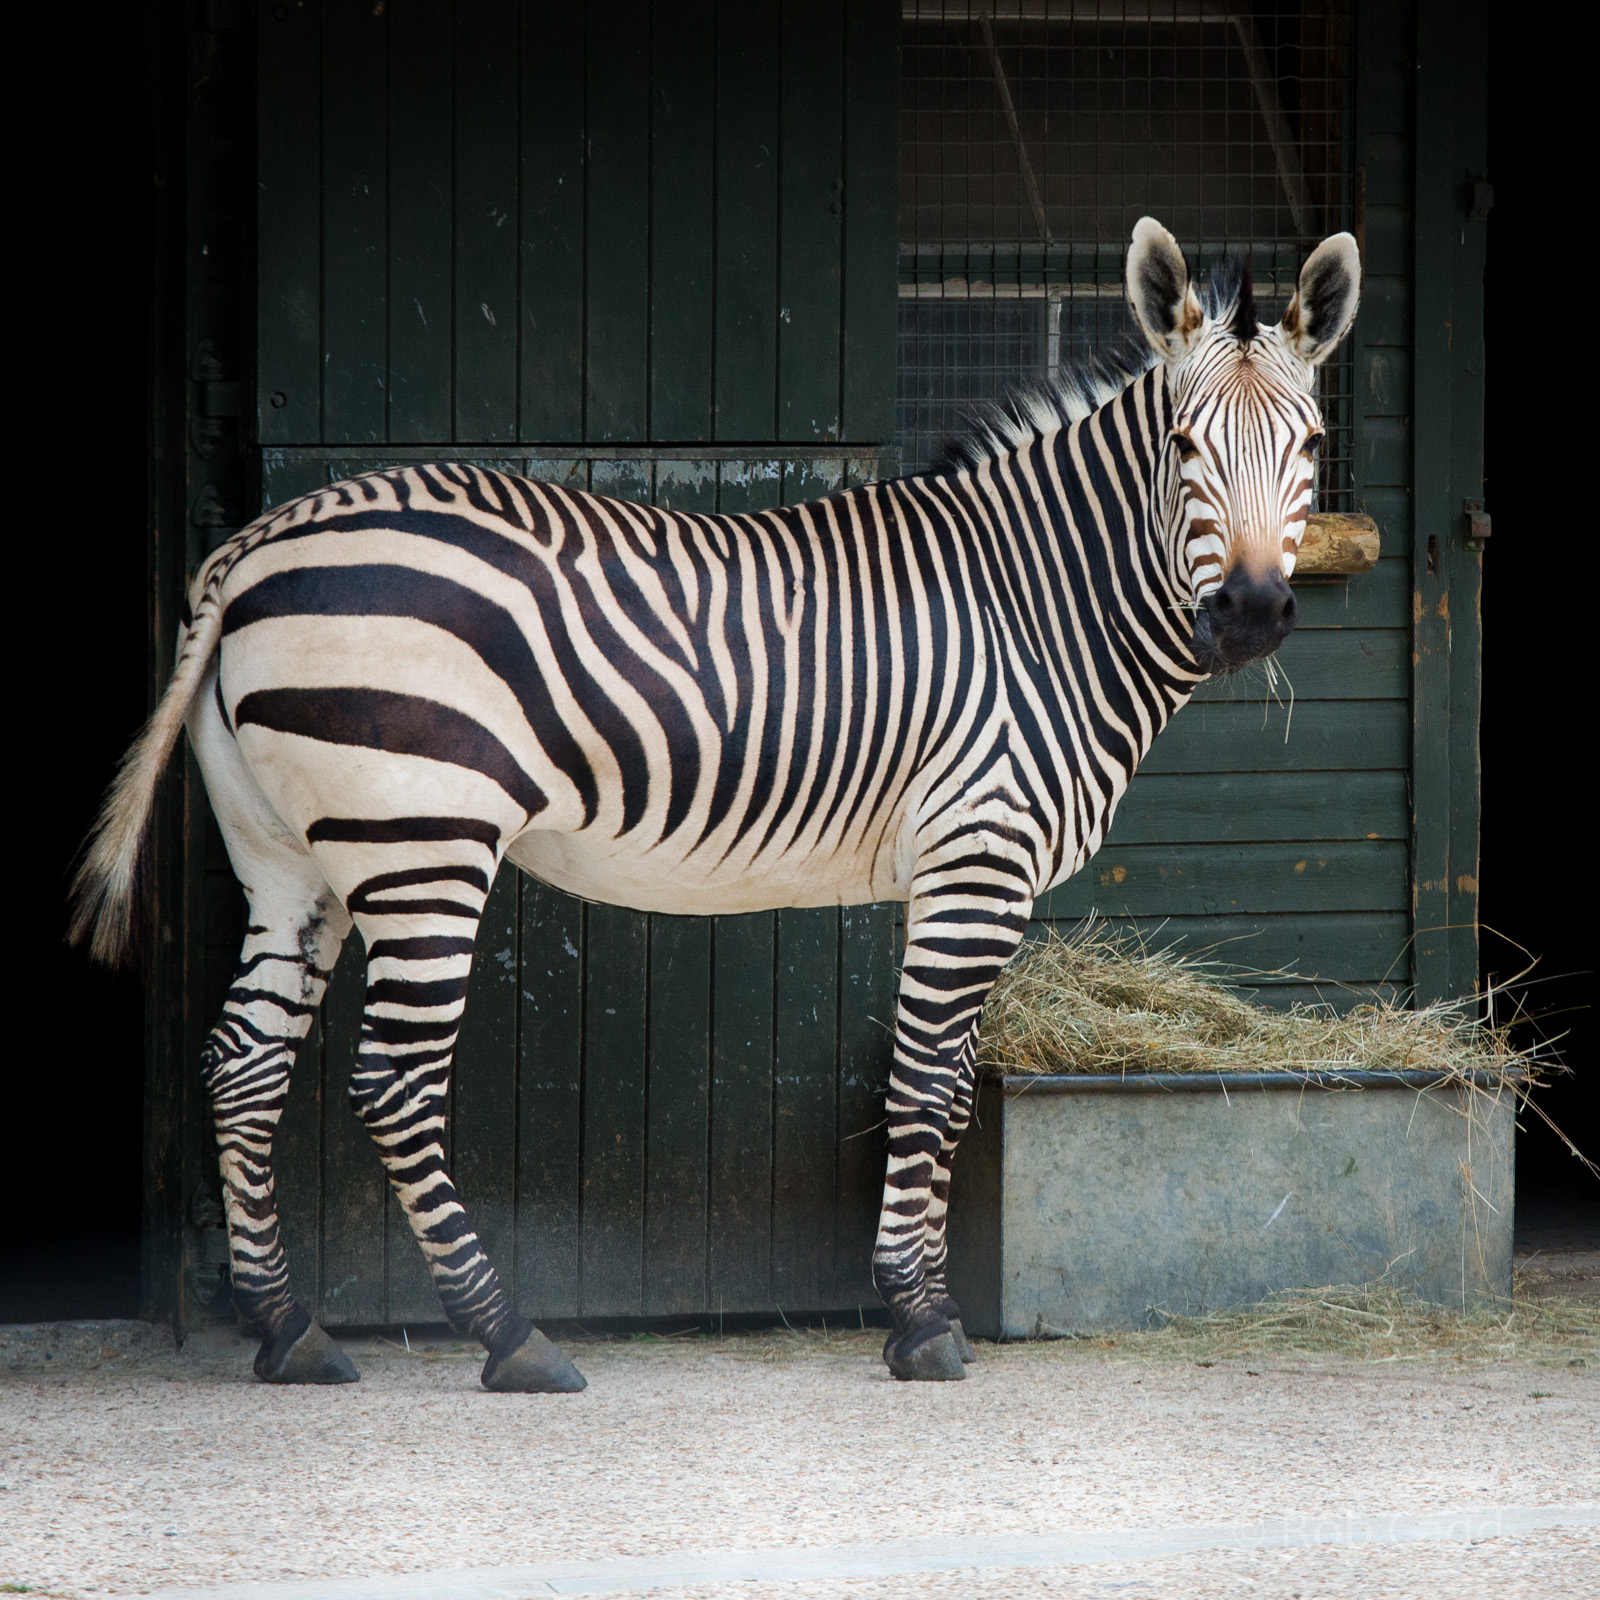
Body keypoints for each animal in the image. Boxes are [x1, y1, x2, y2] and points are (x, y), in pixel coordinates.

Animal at [73, 218, 1360, 1388]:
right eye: (1182, 444)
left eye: (1311, 443)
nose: (1252, 612)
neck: (1038, 604)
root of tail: (252, 543)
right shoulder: (979, 858)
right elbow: (928, 1085)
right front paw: (921, 1322)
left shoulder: (947, 872)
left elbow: (936, 1088)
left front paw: (917, 1304)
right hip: (421, 841)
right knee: (390, 1082)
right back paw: (509, 1336)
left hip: (293, 856)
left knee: (243, 1064)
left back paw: (289, 1332)